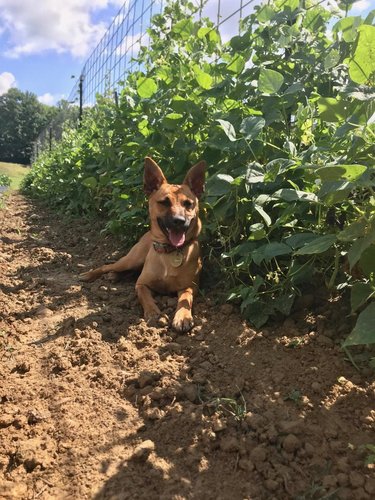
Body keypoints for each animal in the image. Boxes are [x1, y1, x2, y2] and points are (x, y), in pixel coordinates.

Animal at [80, 157, 207, 332]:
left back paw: (114, 276)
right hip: (131, 259)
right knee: (108, 266)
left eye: (188, 204)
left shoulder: (189, 286)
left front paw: (182, 317)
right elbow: (145, 297)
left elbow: (185, 299)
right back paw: (91, 274)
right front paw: (154, 313)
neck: (169, 252)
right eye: (164, 202)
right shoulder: (141, 284)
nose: (179, 221)